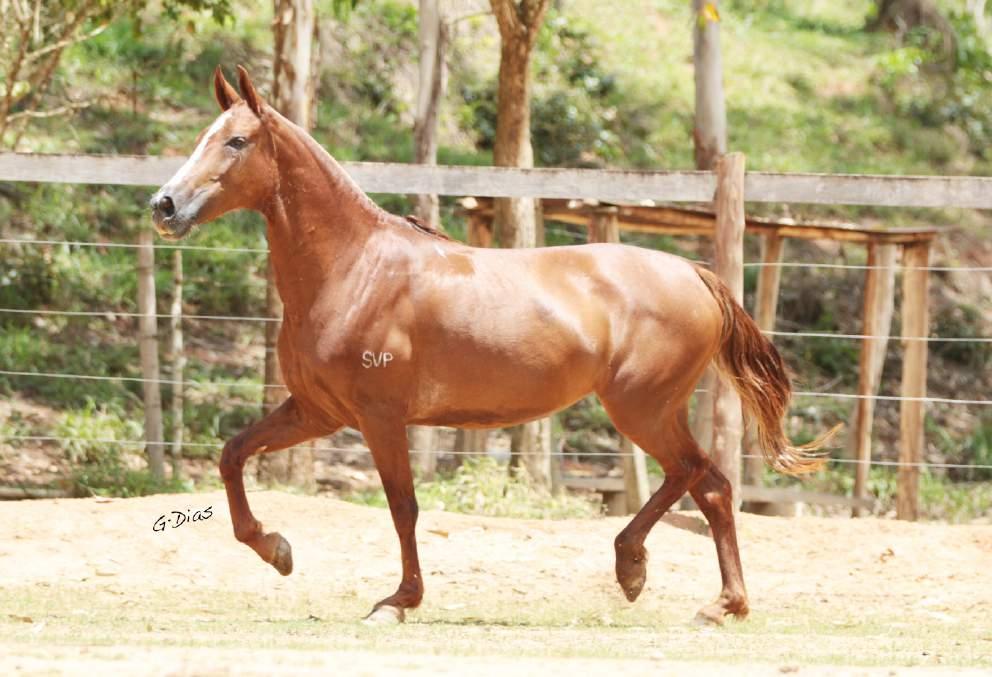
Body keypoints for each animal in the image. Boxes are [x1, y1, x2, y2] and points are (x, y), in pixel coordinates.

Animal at [151, 66, 832, 624]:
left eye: (236, 141)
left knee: (694, 475)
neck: (355, 268)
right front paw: (277, 550)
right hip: (652, 410)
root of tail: (695, 274)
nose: (165, 205)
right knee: (709, 485)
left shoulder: (379, 417)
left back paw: (649, 573)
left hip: (641, 408)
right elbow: (233, 454)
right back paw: (707, 597)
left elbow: (403, 507)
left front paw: (398, 602)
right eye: (205, 136)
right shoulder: (318, 412)